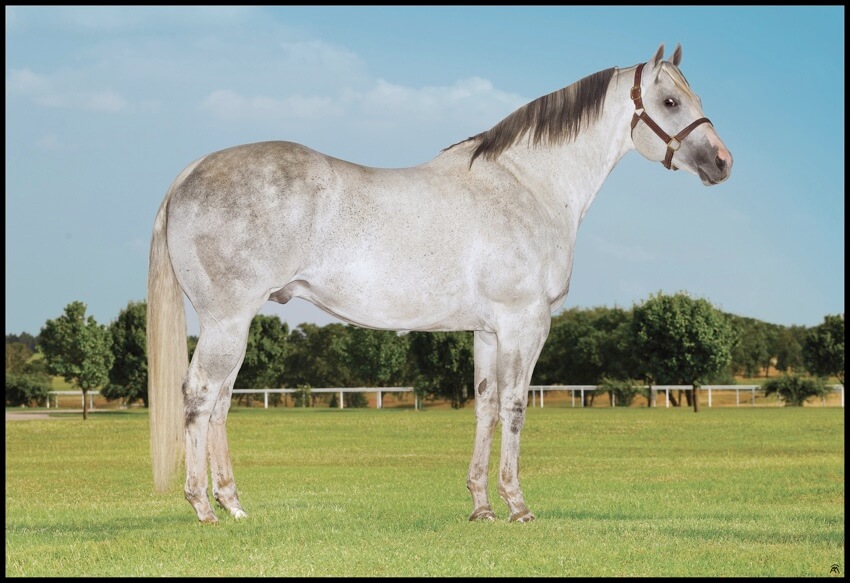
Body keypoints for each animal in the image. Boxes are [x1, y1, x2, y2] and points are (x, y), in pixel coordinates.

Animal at [147, 44, 732, 524]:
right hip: (227, 320)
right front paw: (517, 505)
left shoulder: (488, 331)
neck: (529, 186)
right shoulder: (525, 322)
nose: (722, 162)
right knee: (200, 395)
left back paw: (232, 503)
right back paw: (202, 506)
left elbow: (486, 406)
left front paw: (481, 506)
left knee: (221, 402)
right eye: (670, 102)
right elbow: (515, 406)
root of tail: (192, 170)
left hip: (236, 323)